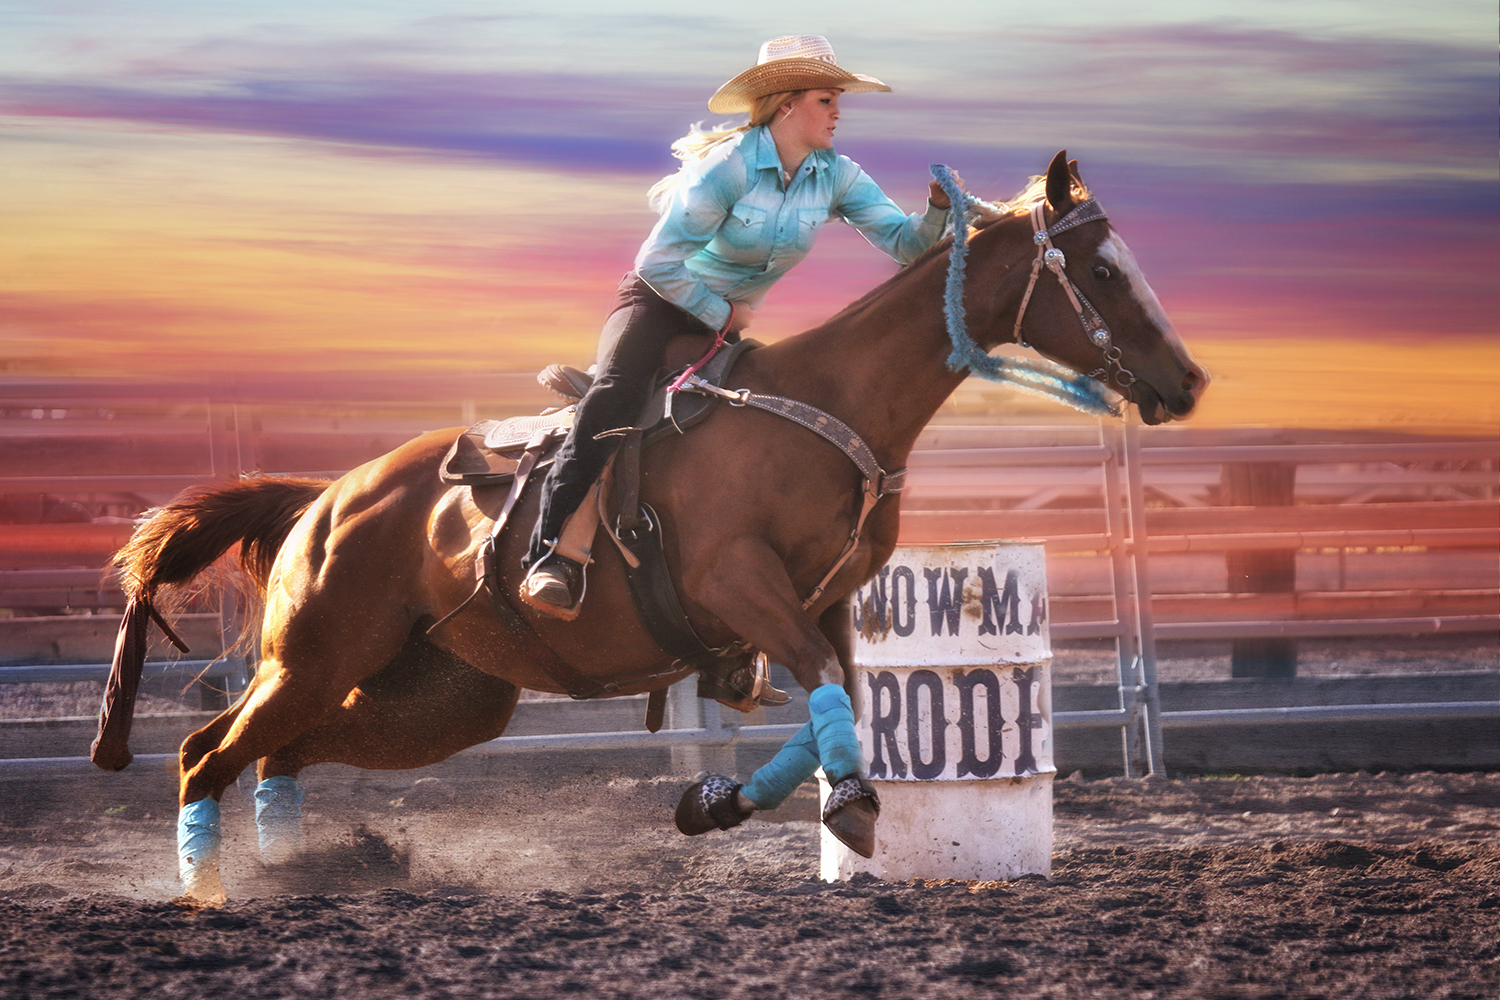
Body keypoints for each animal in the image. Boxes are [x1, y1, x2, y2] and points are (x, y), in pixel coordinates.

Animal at [105, 150, 1206, 905]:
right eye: (1102, 271)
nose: (1189, 380)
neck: (826, 404)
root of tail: (327, 499)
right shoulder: (740, 583)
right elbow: (822, 689)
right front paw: (845, 809)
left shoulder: (830, 600)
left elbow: (836, 700)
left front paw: (718, 804)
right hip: (316, 656)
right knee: (206, 752)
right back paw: (210, 890)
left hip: (439, 698)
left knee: (279, 754)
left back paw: (296, 873)